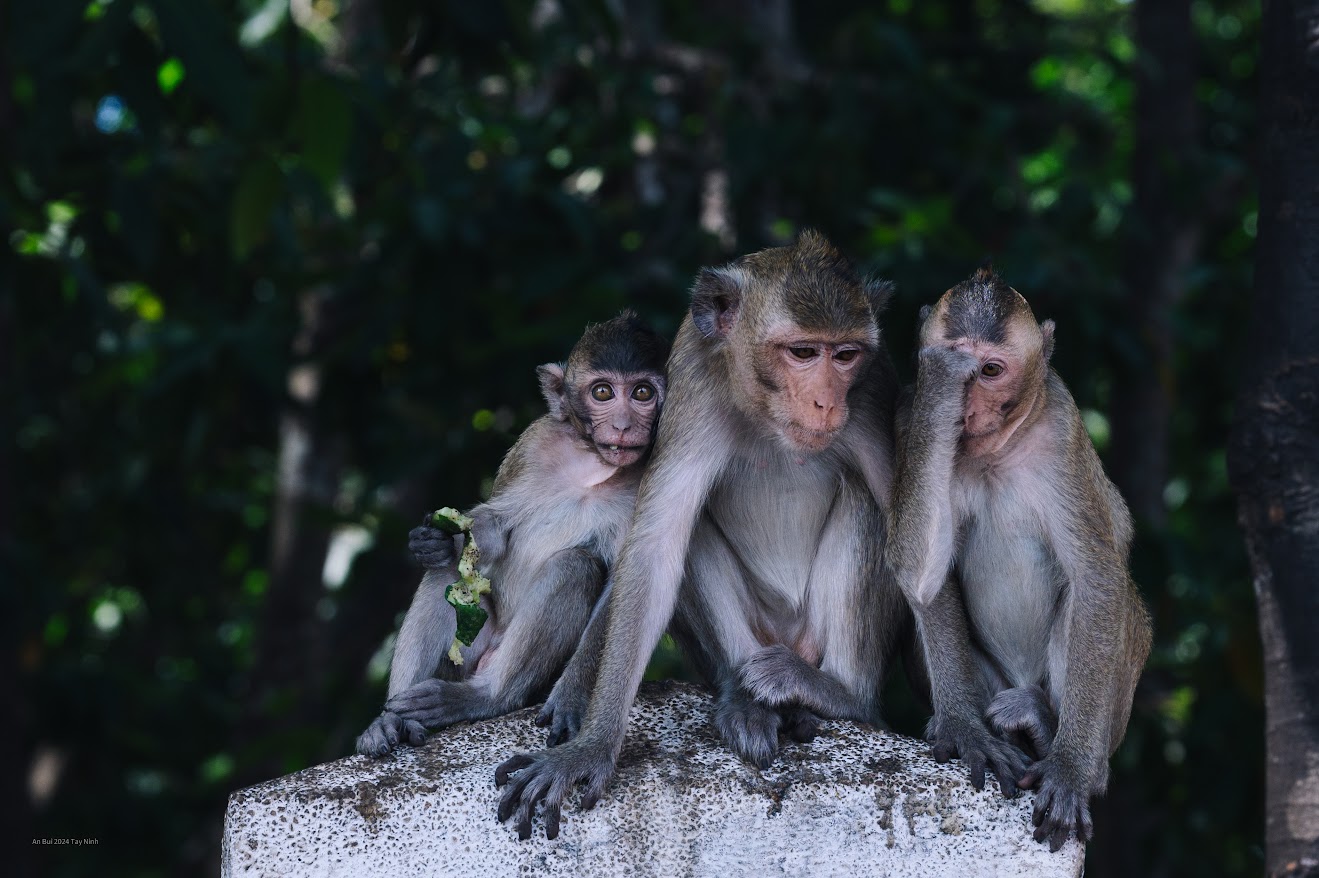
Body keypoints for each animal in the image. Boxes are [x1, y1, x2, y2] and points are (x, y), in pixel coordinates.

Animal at [358, 311, 670, 754]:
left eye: (642, 392)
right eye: (603, 392)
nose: (624, 425)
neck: (595, 466)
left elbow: (625, 588)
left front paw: (572, 696)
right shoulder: (532, 444)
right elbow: (493, 529)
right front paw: (437, 539)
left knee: (574, 567)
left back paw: (484, 697)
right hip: (470, 646)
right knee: (447, 574)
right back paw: (391, 720)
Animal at [886, 268, 1155, 848]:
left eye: (990, 370)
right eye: (960, 367)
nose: (965, 409)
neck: (993, 452)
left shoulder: (1062, 426)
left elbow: (1097, 578)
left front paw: (1071, 770)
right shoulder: (908, 418)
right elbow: (923, 577)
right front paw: (963, 727)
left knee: (1108, 598)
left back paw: (1049, 732)